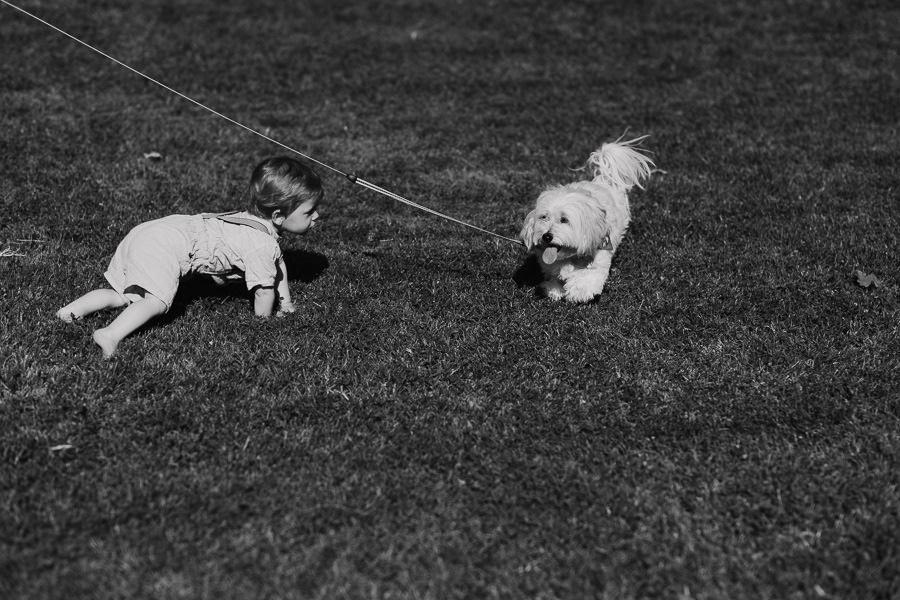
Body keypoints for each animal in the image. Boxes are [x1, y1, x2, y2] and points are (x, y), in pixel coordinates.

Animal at [520, 137, 652, 304]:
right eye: (544, 217)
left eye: (564, 220)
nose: (547, 236)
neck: (570, 256)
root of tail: (604, 179)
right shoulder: (549, 265)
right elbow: (554, 275)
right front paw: (554, 290)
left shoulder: (599, 257)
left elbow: (587, 277)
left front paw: (577, 292)